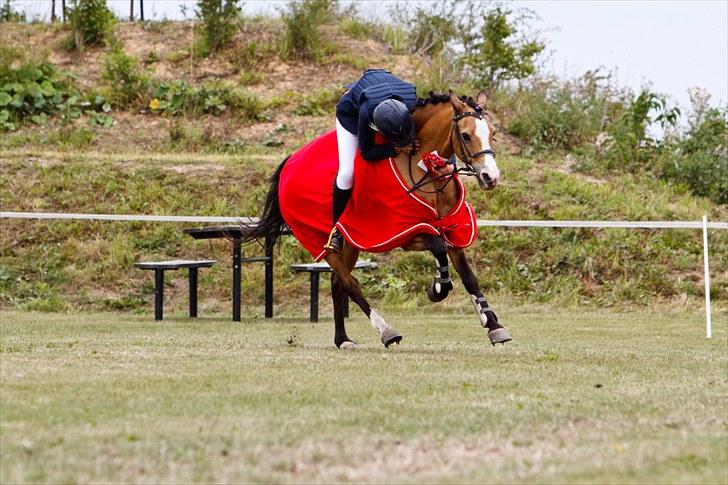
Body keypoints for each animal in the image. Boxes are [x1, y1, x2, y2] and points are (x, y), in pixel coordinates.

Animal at [243, 91, 512, 349]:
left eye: (493, 133)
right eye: (465, 135)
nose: (490, 177)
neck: (424, 169)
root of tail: (288, 163)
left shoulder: (451, 229)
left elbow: (467, 276)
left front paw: (494, 326)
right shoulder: (407, 232)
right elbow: (438, 247)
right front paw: (437, 288)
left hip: (351, 245)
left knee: (337, 282)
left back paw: (343, 339)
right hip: (324, 245)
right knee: (349, 282)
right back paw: (386, 331)